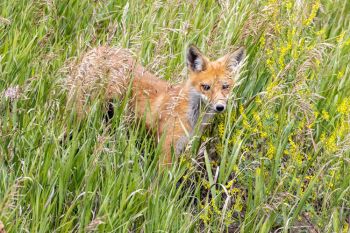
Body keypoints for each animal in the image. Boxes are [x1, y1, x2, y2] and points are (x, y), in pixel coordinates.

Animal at [67, 44, 245, 167]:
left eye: (225, 86)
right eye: (206, 87)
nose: (220, 107)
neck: (192, 118)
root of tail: (97, 49)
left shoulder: (183, 146)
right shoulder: (166, 147)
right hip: (83, 112)